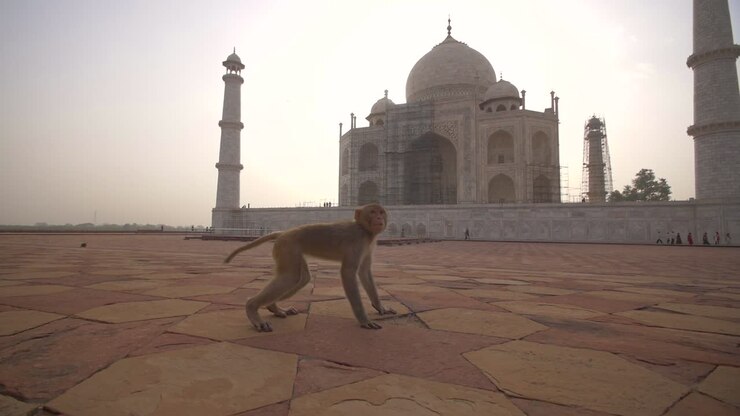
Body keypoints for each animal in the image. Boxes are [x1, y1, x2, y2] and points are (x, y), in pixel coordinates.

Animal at [224, 203, 396, 332]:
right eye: (372, 212)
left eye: (381, 212)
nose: (379, 218)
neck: (364, 230)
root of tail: (283, 233)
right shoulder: (357, 241)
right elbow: (348, 273)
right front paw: (364, 320)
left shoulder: (368, 245)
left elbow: (364, 272)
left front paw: (380, 307)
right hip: (287, 247)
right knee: (291, 277)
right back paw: (252, 308)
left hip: (291, 251)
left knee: (301, 279)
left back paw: (274, 308)